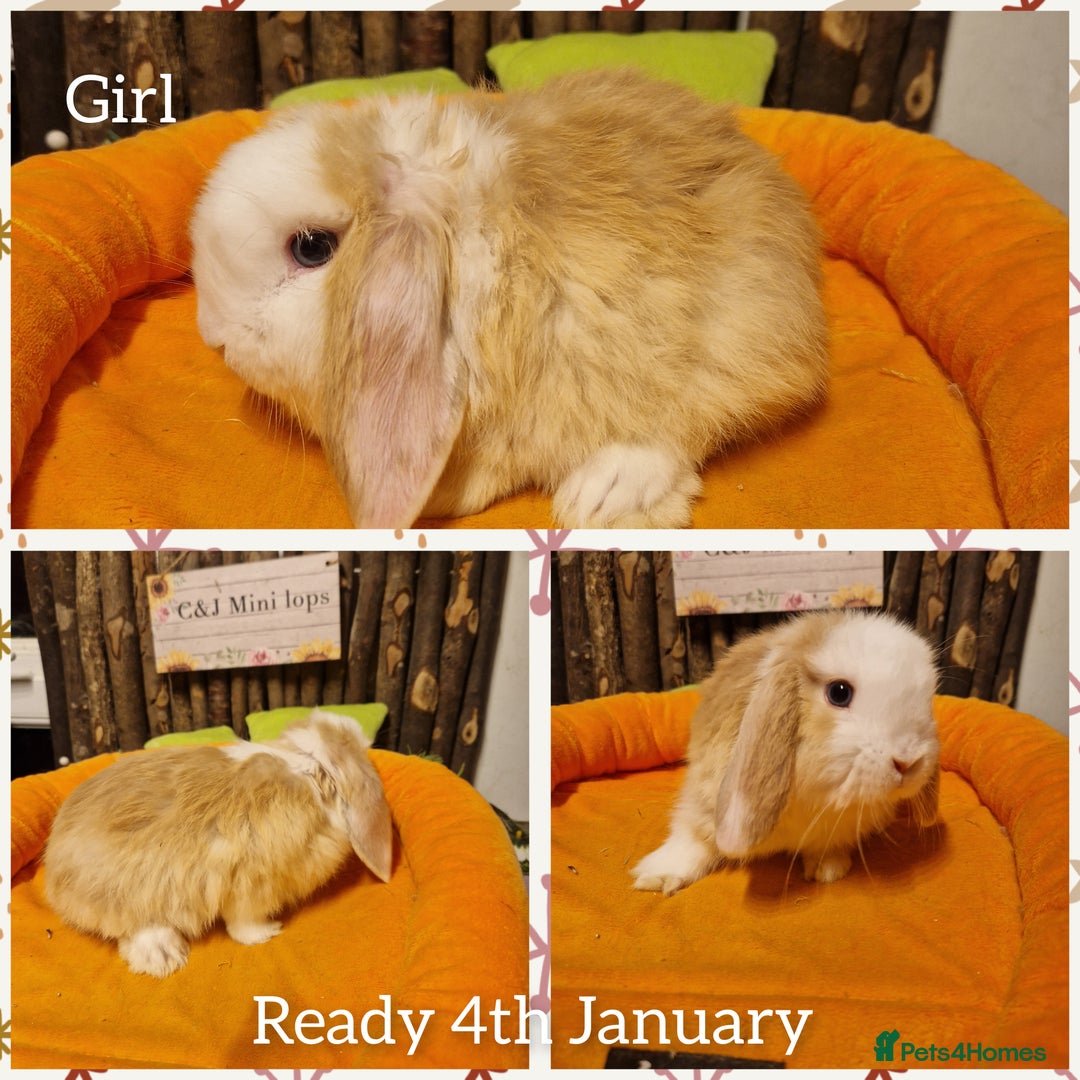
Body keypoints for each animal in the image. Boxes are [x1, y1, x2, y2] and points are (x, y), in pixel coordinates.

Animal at [44, 709, 392, 977]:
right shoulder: (253, 886)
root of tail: (55, 874)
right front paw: (267, 933)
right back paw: (165, 959)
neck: (303, 768)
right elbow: (243, 924)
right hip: (136, 893)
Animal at [632, 609, 940, 894]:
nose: (909, 762)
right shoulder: (701, 801)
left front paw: (828, 869)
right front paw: (655, 877)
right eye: (839, 692)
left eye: (927, 700)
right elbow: (691, 840)